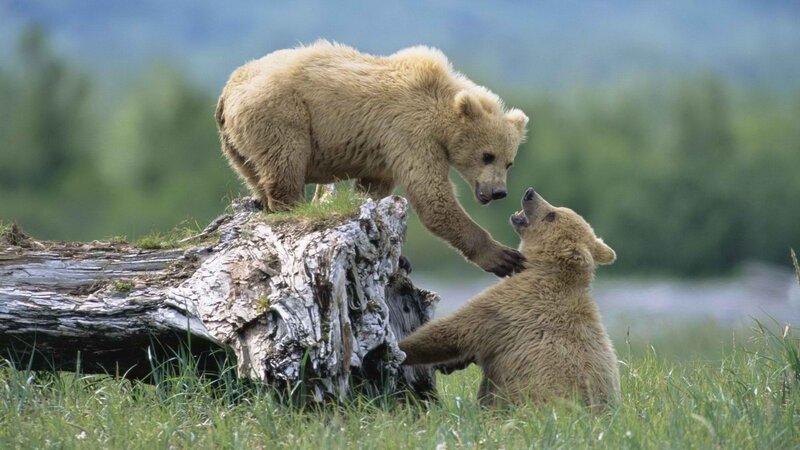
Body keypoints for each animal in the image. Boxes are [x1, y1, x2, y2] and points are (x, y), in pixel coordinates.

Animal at [215, 41, 529, 277]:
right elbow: (433, 197)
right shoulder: (411, 134)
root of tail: (227, 91)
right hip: (281, 113)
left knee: (255, 173)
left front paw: (399, 256)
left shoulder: (385, 152)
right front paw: (504, 256)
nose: (498, 192)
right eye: (487, 155)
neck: (441, 112)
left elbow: (373, 189)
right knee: (285, 163)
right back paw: (291, 206)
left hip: (237, 146)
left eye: (509, 162)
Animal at [399, 187, 620, 409]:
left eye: (552, 215)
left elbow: (453, 331)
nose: (530, 193)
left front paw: (401, 348)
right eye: (557, 210)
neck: (543, 268)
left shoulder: (510, 307)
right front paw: (449, 364)